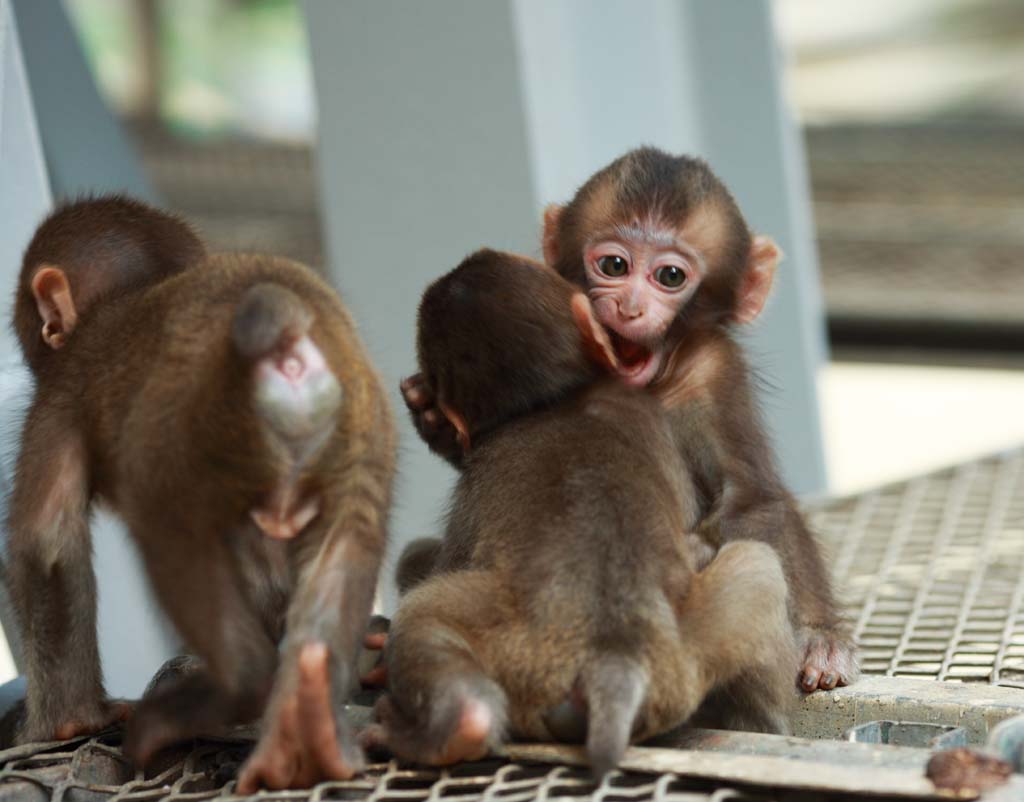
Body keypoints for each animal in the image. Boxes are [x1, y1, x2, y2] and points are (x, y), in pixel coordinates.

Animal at [370, 252, 798, 778]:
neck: (555, 401)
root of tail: (613, 662)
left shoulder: (474, 480)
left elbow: (440, 558)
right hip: (684, 660)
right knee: (756, 566)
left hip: (518, 657)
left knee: (425, 611)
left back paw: (453, 726)